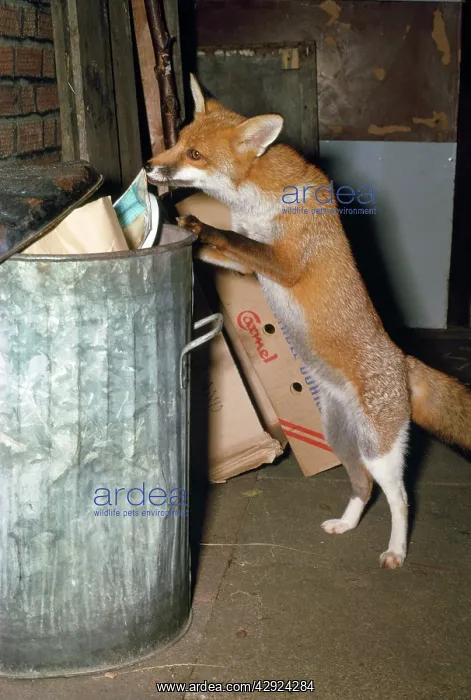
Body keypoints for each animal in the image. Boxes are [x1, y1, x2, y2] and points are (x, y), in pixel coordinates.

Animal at [145, 74, 471, 569]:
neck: (255, 201)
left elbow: (233, 237)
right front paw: (179, 230)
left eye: (195, 155)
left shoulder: (285, 263)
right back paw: (347, 525)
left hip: (380, 452)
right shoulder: (248, 269)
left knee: (400, 497)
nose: (148, 166)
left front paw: (200, 224)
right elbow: (223, 251)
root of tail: (402, 359)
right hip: (341, 441)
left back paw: (396, 550)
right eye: (178, 142)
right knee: (363, 487)